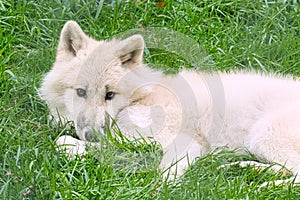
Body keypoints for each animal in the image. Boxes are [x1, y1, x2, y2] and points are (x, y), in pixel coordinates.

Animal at [40, 20, 300, 186]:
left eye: (110, 95)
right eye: (80, 92)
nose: (91, 135)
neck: (142, 95)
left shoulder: (183, 141)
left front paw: (160, 188)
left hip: (263, 135)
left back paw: (262, 185)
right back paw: (243, 169)